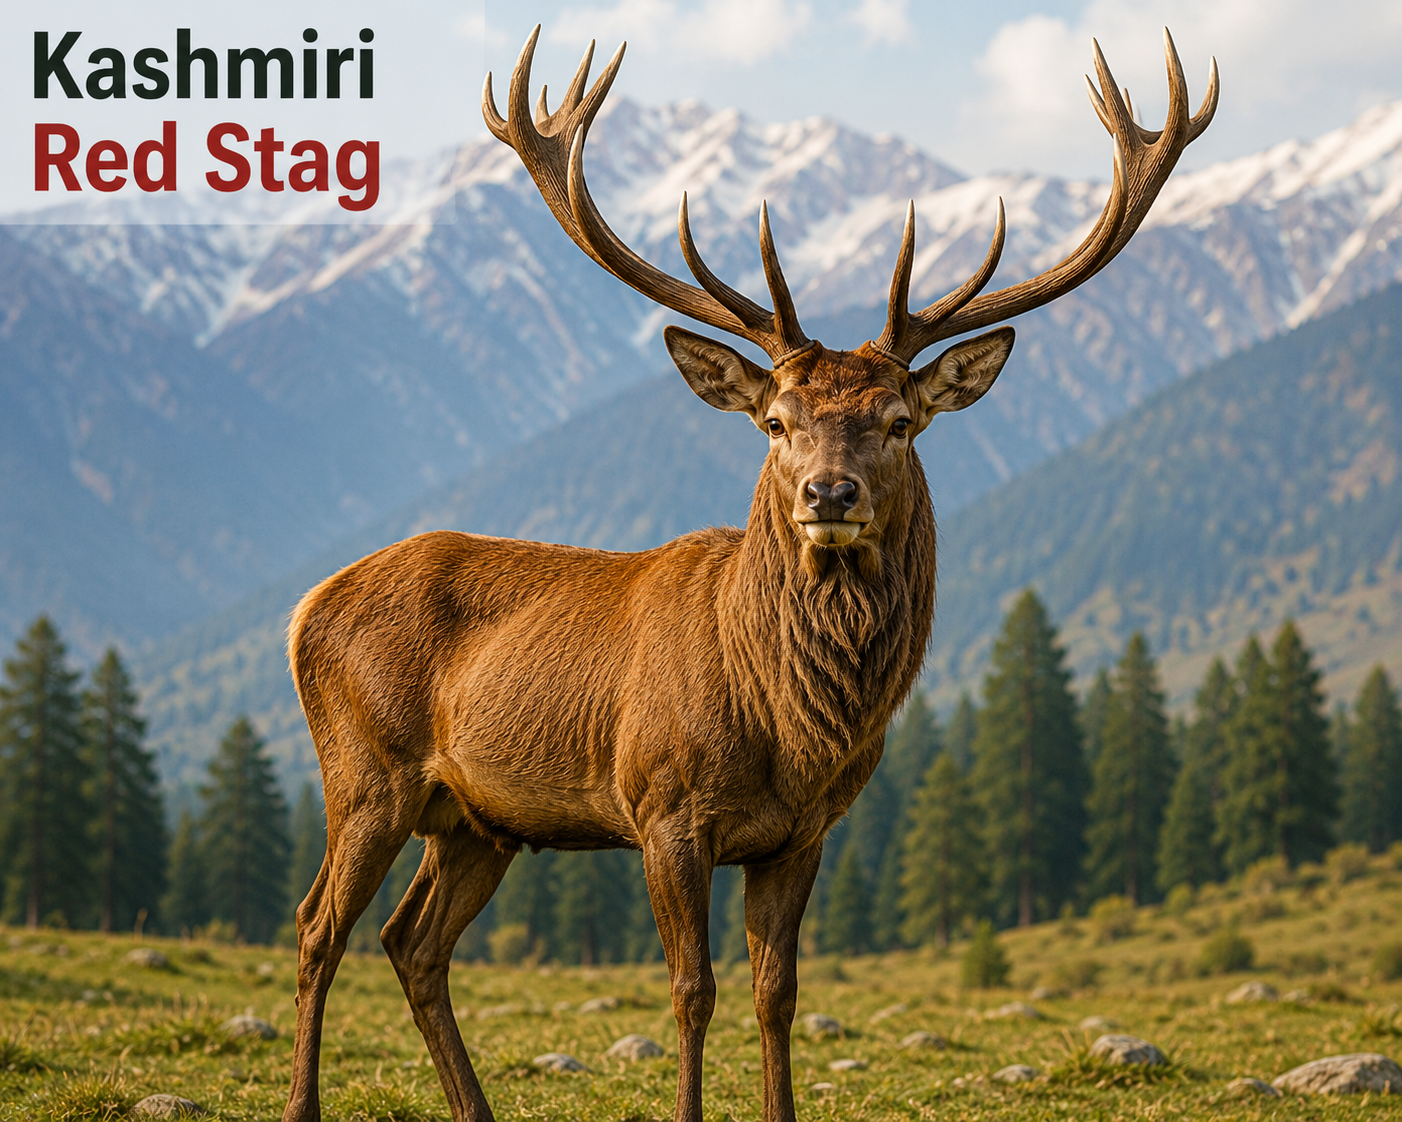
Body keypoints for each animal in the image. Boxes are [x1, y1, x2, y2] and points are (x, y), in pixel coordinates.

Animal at [281, 26, 1216, 1122]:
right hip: (366, 768)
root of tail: (306, 606)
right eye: (776, 421)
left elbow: (778, 994)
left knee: (412, 942)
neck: (786, 724)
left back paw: (473, 1108)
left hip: (479, 819)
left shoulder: (803, 832)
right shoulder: (662, 807)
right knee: (317, 926)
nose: (828, 493)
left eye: (898, 421)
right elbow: (693, 990)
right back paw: (302, 1100)